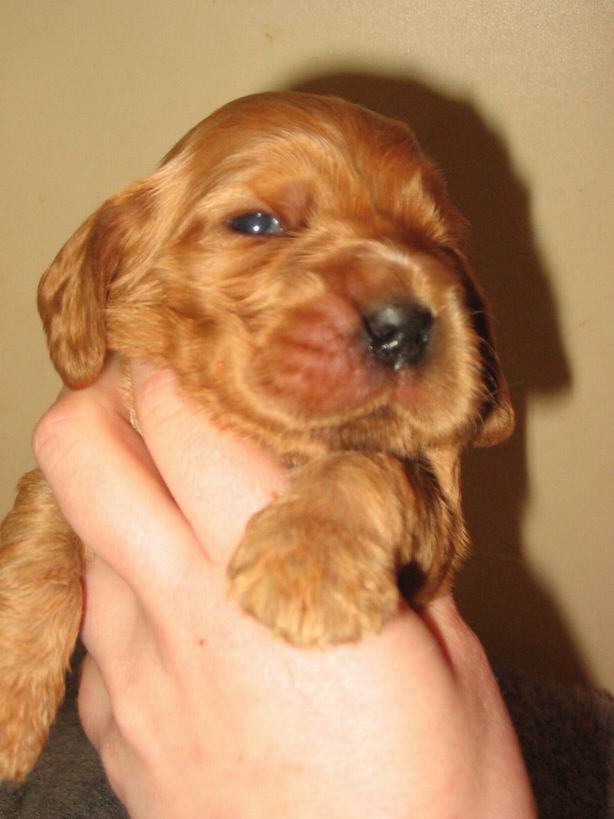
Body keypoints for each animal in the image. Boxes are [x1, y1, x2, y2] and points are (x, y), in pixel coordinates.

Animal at [0, 91, 514, 781]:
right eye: (255, 223)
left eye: (445, 244)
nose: (405, 328)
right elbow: (40, 533)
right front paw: (9, 689)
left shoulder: (440, 541)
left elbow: (368, 464)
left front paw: (310, 559)